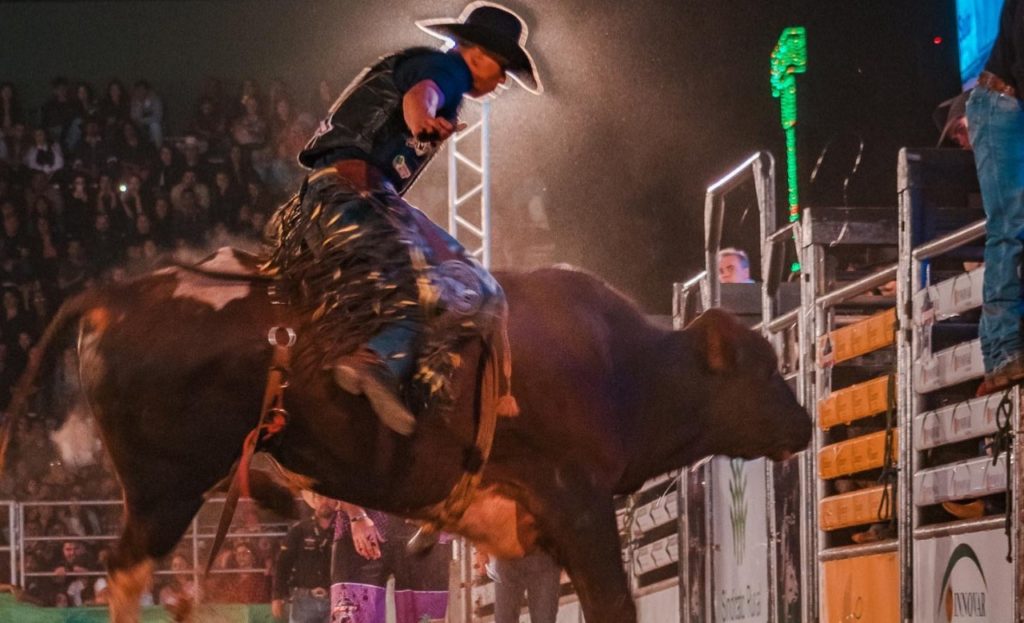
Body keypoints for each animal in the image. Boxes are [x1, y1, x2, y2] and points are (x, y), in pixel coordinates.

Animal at [6, 248, 806, 623]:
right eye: (765, 368)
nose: (803, 422)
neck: (626, 367)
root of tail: (116, 296)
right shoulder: (577, 502)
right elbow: (613, 601)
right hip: (163, 488)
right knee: (125, 571)